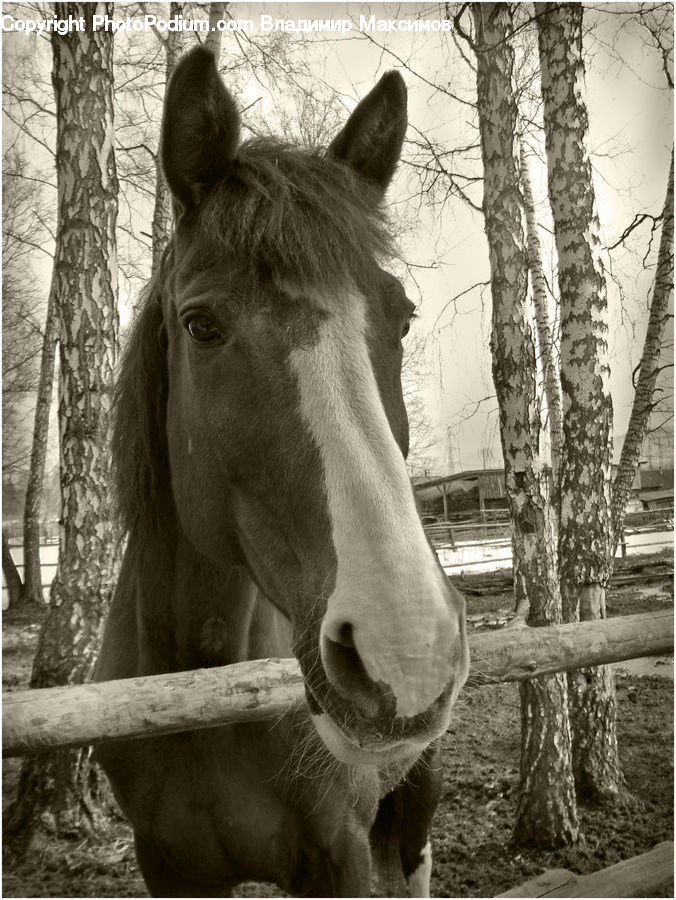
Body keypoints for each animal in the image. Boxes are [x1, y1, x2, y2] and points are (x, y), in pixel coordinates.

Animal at [95, 45, 469, 898]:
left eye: (402, 318)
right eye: (202, 325)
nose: (407, 649)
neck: (197, 689)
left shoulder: (339, 853)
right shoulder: (168, 864)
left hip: (418, 787)